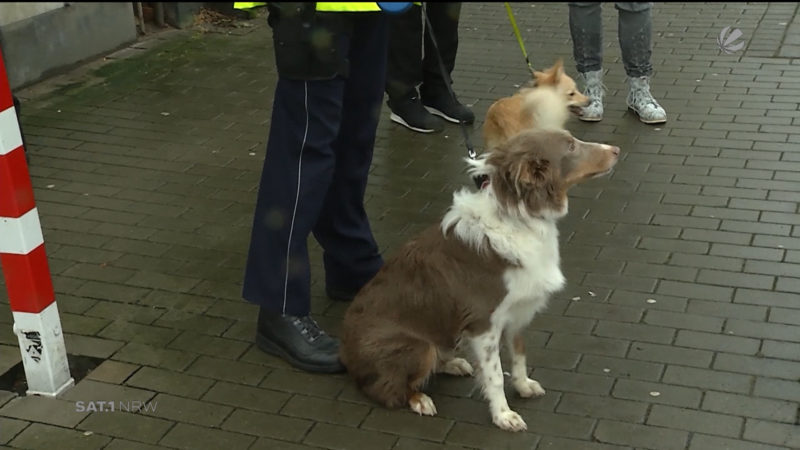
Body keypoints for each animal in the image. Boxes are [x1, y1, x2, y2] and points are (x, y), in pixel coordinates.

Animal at [340, 128, 620, 430]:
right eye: (570, 146)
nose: (616, 150)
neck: (518, 217)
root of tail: (345, 354)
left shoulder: (517, 312)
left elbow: (519, 355)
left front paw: (523, 386)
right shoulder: (483, 324)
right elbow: (494, 375)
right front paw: (503, 415)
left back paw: (453, 364)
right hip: (418, 347)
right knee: (386, 389)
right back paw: (420, 399)